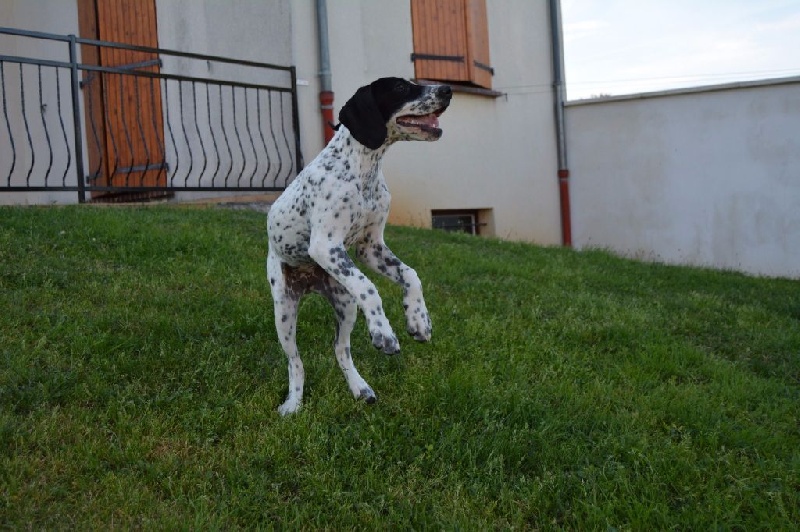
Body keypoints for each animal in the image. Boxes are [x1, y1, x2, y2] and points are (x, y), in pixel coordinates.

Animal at [264, 76, 446, 416]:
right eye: (400, 88)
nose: (447, 90)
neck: (364, 170)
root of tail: (310, 283)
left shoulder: (370, 247)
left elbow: (411, 275)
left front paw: (419, 320)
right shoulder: (325, 246)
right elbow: (370, 287)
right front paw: (384, 332)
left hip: (345, 303)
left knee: (340, 348)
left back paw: (360, 388)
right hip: (284, 311)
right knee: (296, 362)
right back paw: (293, 403)